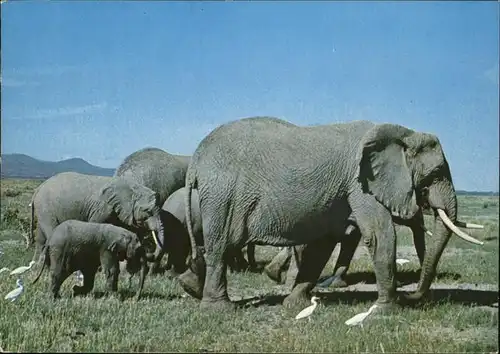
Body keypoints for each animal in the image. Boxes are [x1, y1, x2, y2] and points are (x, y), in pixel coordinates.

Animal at [28, 171, 164, 266]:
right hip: (46, 207)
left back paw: (37, 265)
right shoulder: (102, 208)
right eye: (148, 211)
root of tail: (38, 189)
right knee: (51, 232)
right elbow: (95, 225)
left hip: (43, 209)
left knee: (40, 237)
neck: (132, 188)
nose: (151, 253)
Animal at [178, 115, 482, 312]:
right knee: (220, 245)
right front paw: (386, 312)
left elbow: (322, 245)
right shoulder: (360, 183)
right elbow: (379, 235)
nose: (412, 298)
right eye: (435, 174)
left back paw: (190, 287)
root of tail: (196, 160)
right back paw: (218, 310)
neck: (402, 132)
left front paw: (294, 304)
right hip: (223, 196)